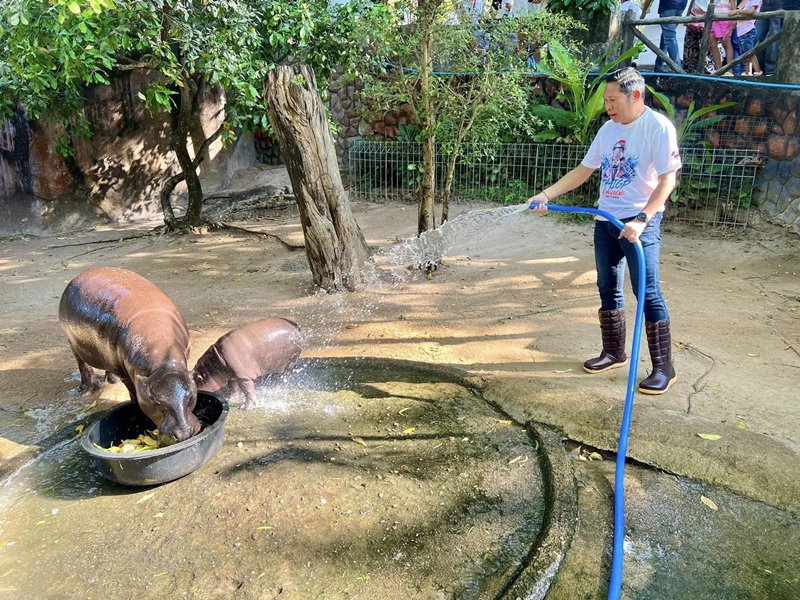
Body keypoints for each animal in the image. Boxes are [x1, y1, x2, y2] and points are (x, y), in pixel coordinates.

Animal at [59, 268, 200, 440]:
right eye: (155, 400)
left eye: (191, 394)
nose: (184, 433)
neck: (164, 363)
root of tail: (78, 276)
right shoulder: (126, 373)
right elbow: (132, 389)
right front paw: (133, 404)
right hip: (73, 344)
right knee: (83, 366)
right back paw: (89, 389)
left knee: (107, 368)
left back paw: (111, 381)